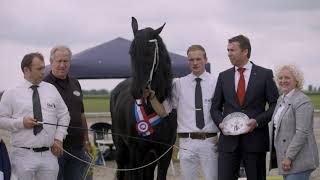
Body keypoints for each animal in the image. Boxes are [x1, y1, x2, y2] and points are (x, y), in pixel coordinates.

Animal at [110, 17, 178, 180]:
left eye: (150, 52)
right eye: (131, 52)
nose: (136, 91)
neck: (153, 108)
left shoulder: (164, 153)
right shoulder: (137, 153)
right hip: (121, 149)